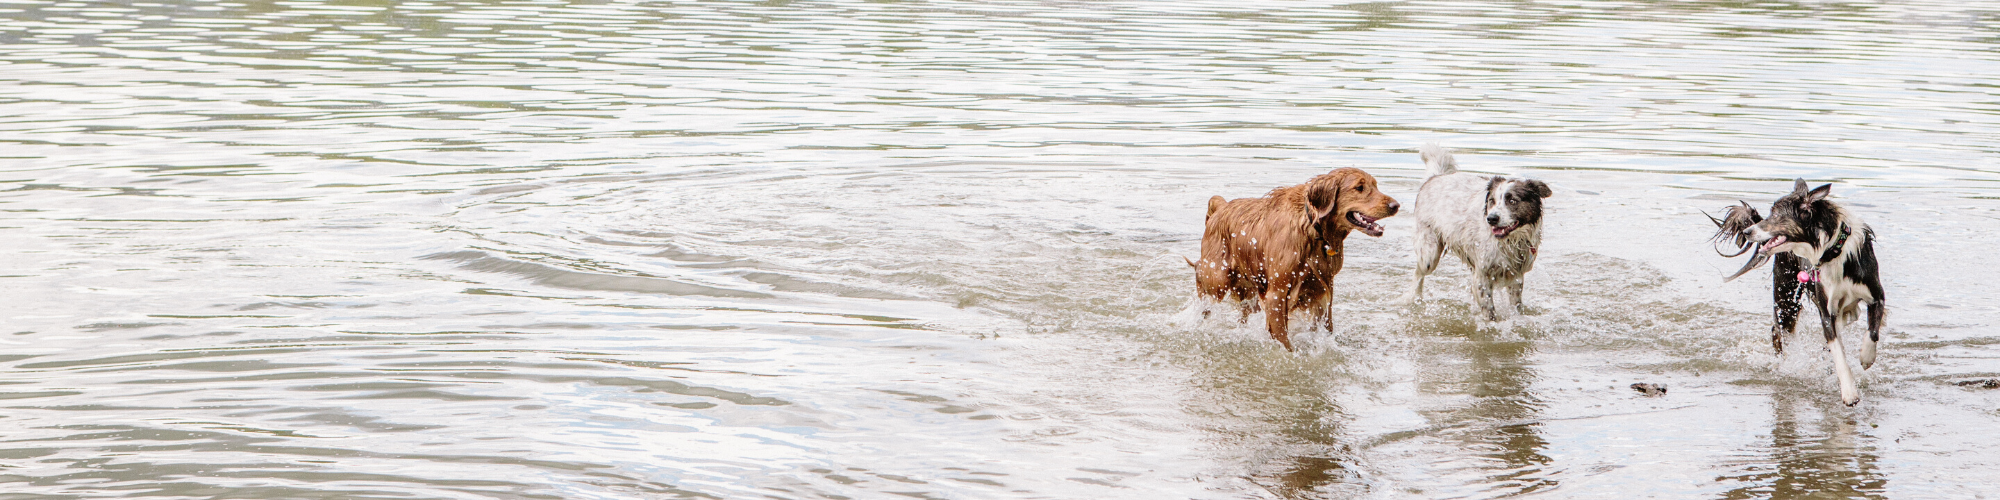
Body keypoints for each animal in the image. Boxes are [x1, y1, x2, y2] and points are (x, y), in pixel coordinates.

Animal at [1192, 166, 1400, 350]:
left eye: (1376, 185)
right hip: (1218, 279)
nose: (1395, 206)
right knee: (1202, 283)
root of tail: (1220, 208)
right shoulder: (1277, 292)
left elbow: (1326, 325)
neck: (1312, 230)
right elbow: (1283, 339)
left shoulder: (1323, 287)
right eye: (1359, 187)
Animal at [1400, 144, 1552, 320]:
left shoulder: (1516, 276)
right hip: (1429, 255)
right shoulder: (1482, 275)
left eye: (1512, 201)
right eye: (1492, 201)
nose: (1491, 218)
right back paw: (1414, 298)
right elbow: (1490, 313)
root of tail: (1436, 177)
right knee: (1418, 273)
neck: (1509, 241)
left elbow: (1516, 306)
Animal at [1712, 180, 1880, 406]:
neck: (1832, 250)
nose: (1747, 231)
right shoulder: (1826, 311)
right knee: (1778, 331)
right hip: (1785, 299)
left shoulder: (1875, 294)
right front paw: (1849, 393)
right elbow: (1838, 353)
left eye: (1775, 215)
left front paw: (1866, 357)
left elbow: (1872, 331)